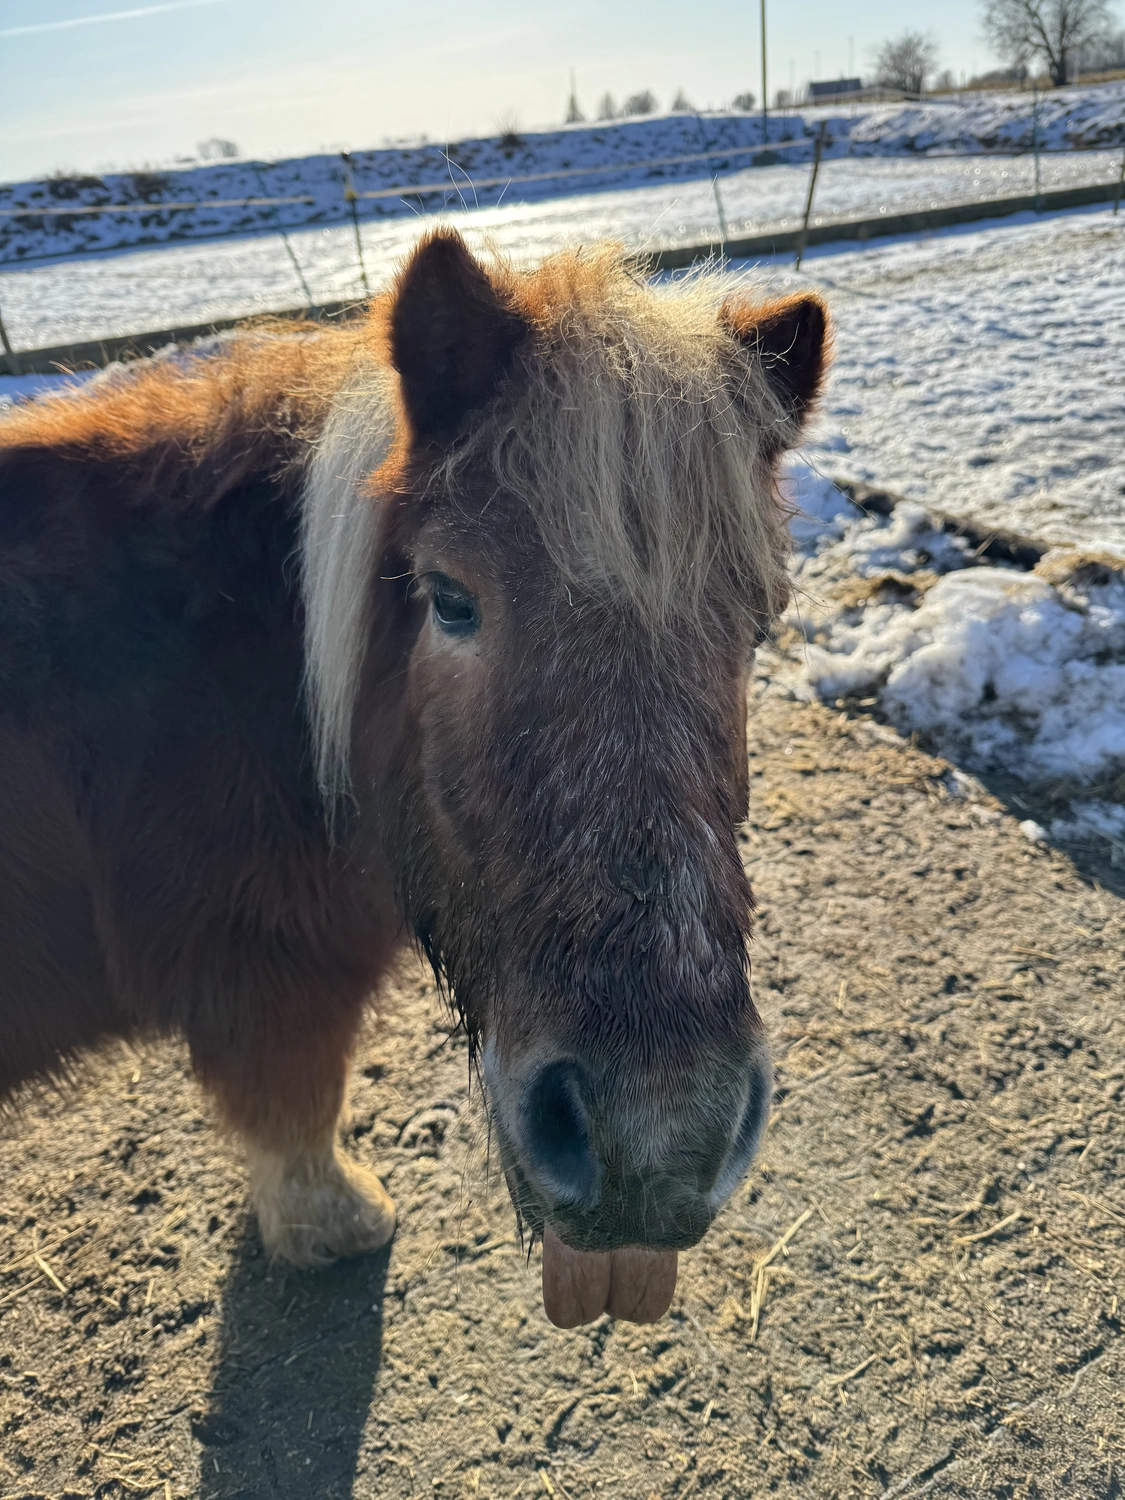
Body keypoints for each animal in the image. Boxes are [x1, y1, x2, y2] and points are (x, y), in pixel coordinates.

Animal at [0, 232, 827, 1327]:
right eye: (448, 600)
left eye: (760, 625)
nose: (654, 1143)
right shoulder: (270, 974)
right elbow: (295, 1107)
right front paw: (332, 1223)